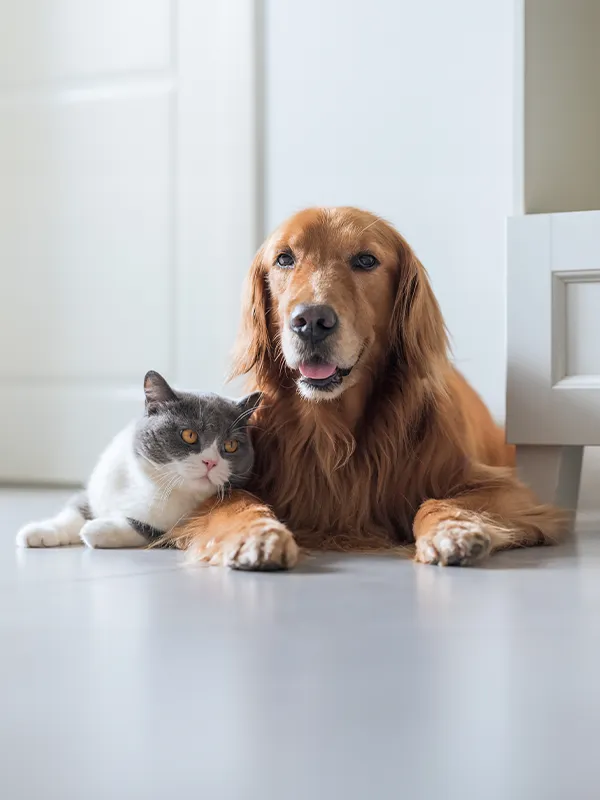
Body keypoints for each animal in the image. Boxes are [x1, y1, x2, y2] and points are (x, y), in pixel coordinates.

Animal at [15, 370, 260, 548]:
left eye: (230, 445)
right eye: (189, 435)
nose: (211, 462)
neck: (150, 484)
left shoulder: (178, 526)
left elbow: (143, 527)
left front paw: (95, 528)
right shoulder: (96, 490)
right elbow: (74, 511)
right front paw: (38, 532)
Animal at [171, 206, 564, 568]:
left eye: (365, 260)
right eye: (284, 259)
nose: (311, 321)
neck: (335, 431)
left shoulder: (509, 490)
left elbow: (436, 501)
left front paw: (452, 529)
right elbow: (236, 502)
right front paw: (255, 534)